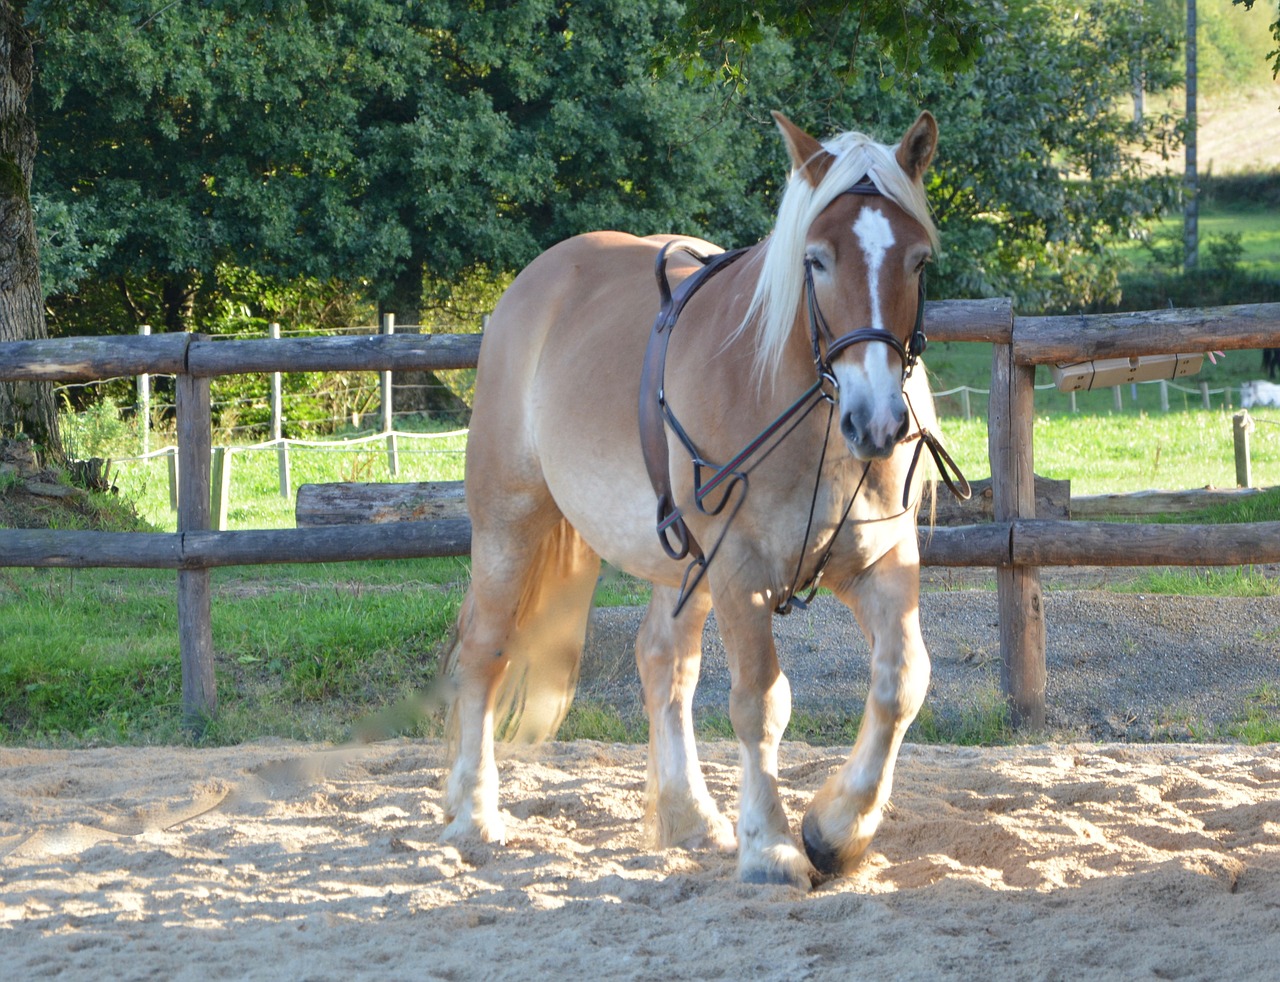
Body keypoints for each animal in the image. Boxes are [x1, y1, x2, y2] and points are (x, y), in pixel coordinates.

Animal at [442, 109, 962, 891]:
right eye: (816, 259)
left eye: (919, 262)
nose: (876, 421)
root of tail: (536, 283)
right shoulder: (741, 568)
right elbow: (760, 703)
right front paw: (772, 847)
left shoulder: (880, 563)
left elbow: (902, 683)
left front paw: (836, 831)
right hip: (511, 524)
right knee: (485, 651)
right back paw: (474, 814)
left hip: (678, 560)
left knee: (664, 664)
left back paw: (689, 816)